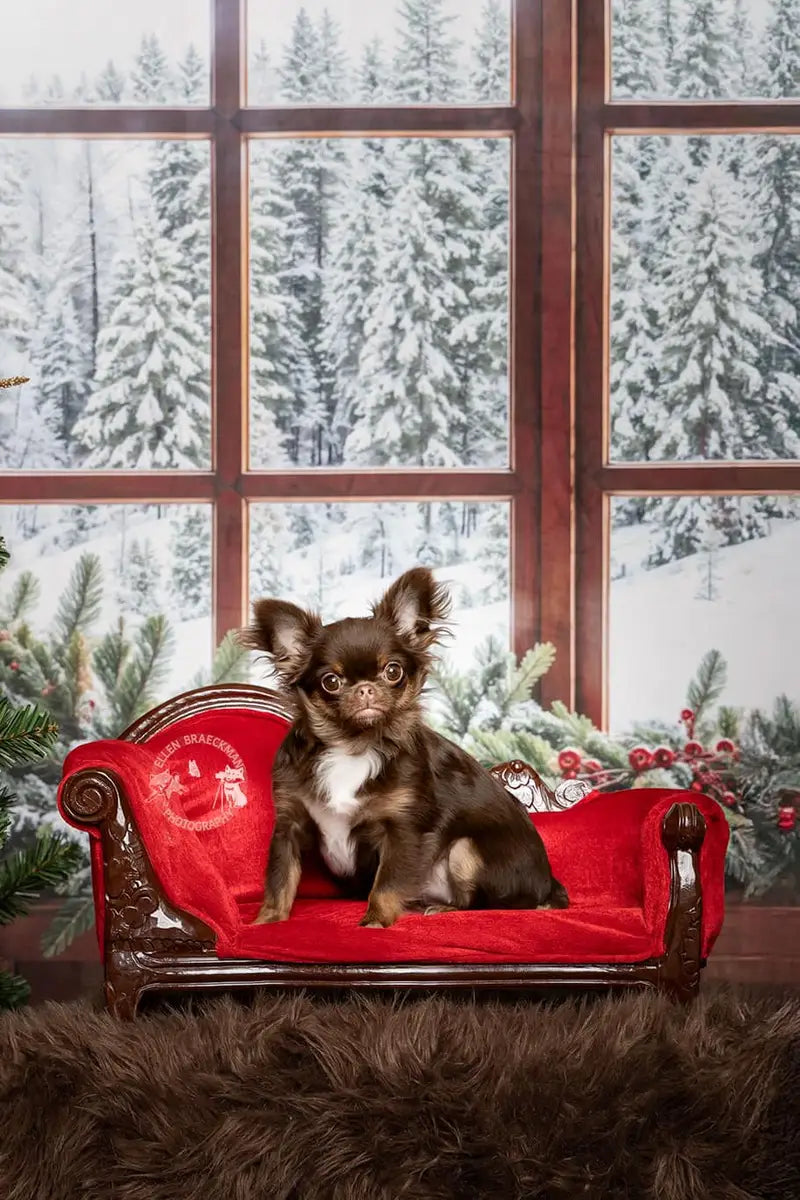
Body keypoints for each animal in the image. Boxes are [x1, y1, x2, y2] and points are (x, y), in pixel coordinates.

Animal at [244, 564, 568, 926]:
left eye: (392, 671)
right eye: (331, 681)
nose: (366, 689)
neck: (352, 746)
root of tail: (550, 885)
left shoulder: (402, 829)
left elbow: (386, 884)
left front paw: (375, 921)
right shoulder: (290, 826)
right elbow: (280, 879)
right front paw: (267, 921)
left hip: (466, 849)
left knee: (488, 903)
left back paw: (444, 908)